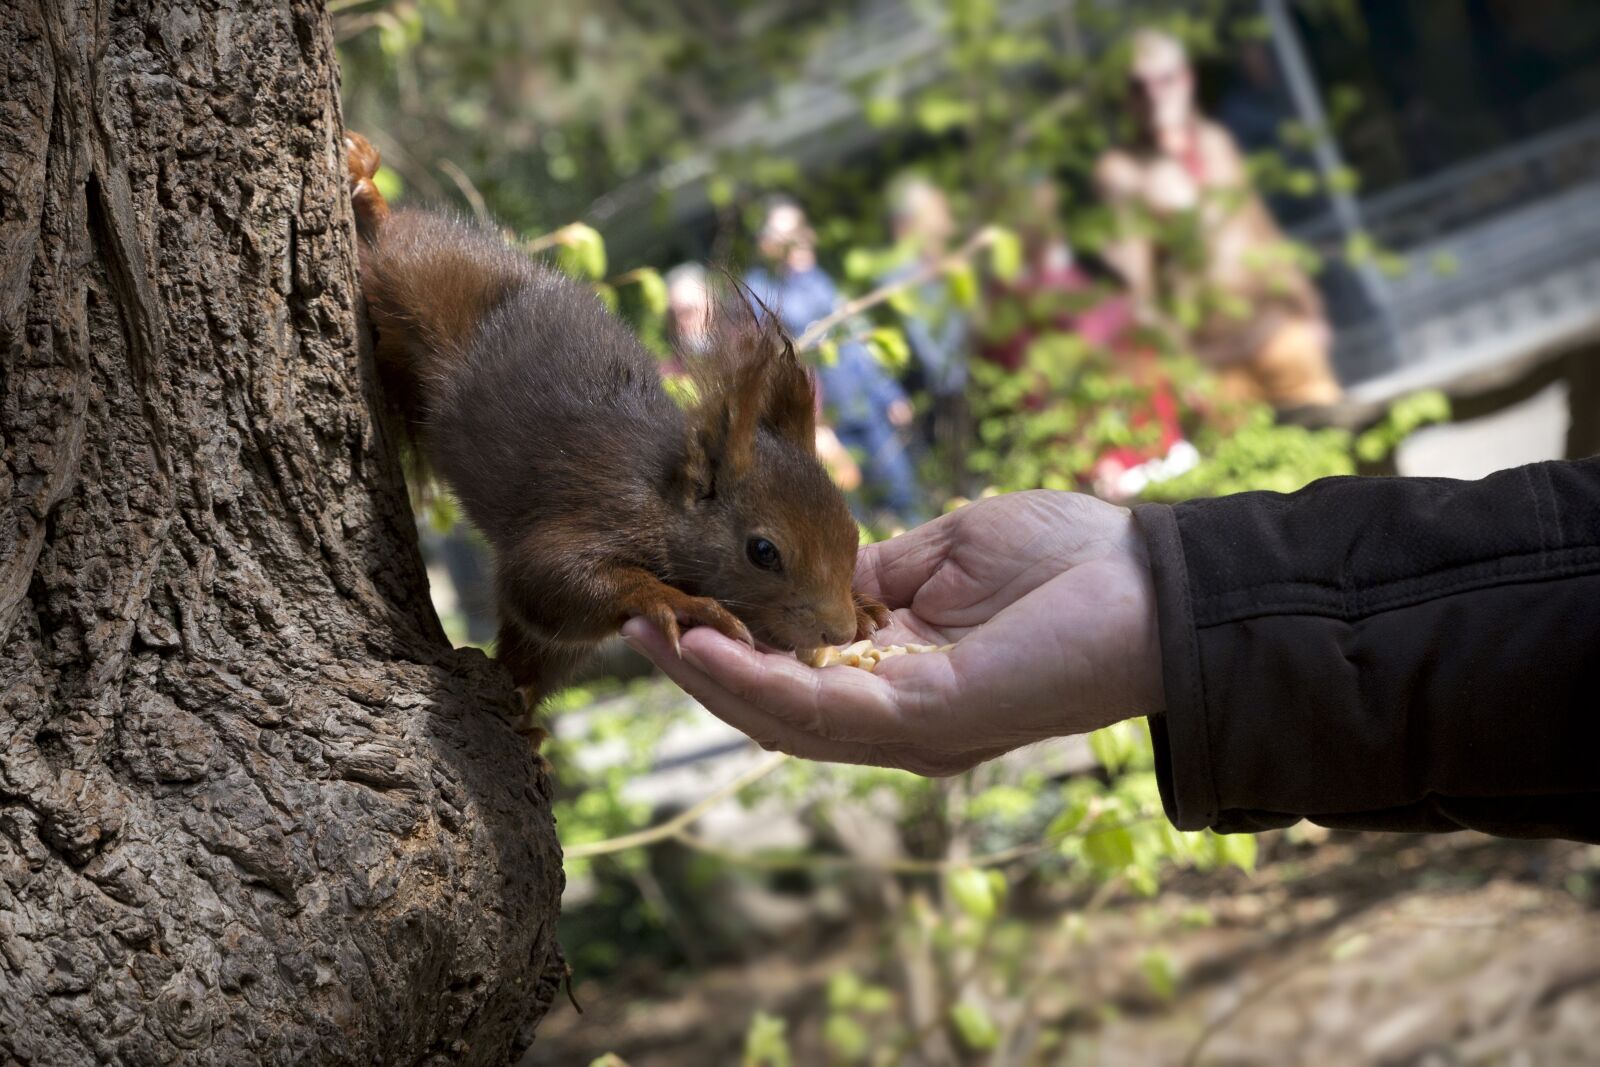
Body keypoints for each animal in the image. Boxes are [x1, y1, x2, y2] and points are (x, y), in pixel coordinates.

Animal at [344, 132, 890, 702]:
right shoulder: (598, 508)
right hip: (419, 271)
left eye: (852, 531)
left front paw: (863, 605)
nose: (838, 631)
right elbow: (546, 579)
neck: (662, 496)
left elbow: (543, 629)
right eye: (763, 551)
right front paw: (680, 603)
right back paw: (368, 191)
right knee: (393, 238)